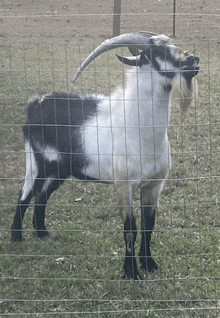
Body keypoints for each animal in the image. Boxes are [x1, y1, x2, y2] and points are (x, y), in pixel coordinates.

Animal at [10, 33, 199, 280]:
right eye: (157, 53)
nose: (193, 59)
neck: (137, 127)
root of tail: (35, 104)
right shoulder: (124, 184)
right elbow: (131, 227)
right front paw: (132, 273)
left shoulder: (154, 184)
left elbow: (149, 223)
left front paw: (149, 264)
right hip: (37, 162)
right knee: (25, 195)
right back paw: (16, 238)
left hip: (60, 169)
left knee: (42, 195)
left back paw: (42, 233)